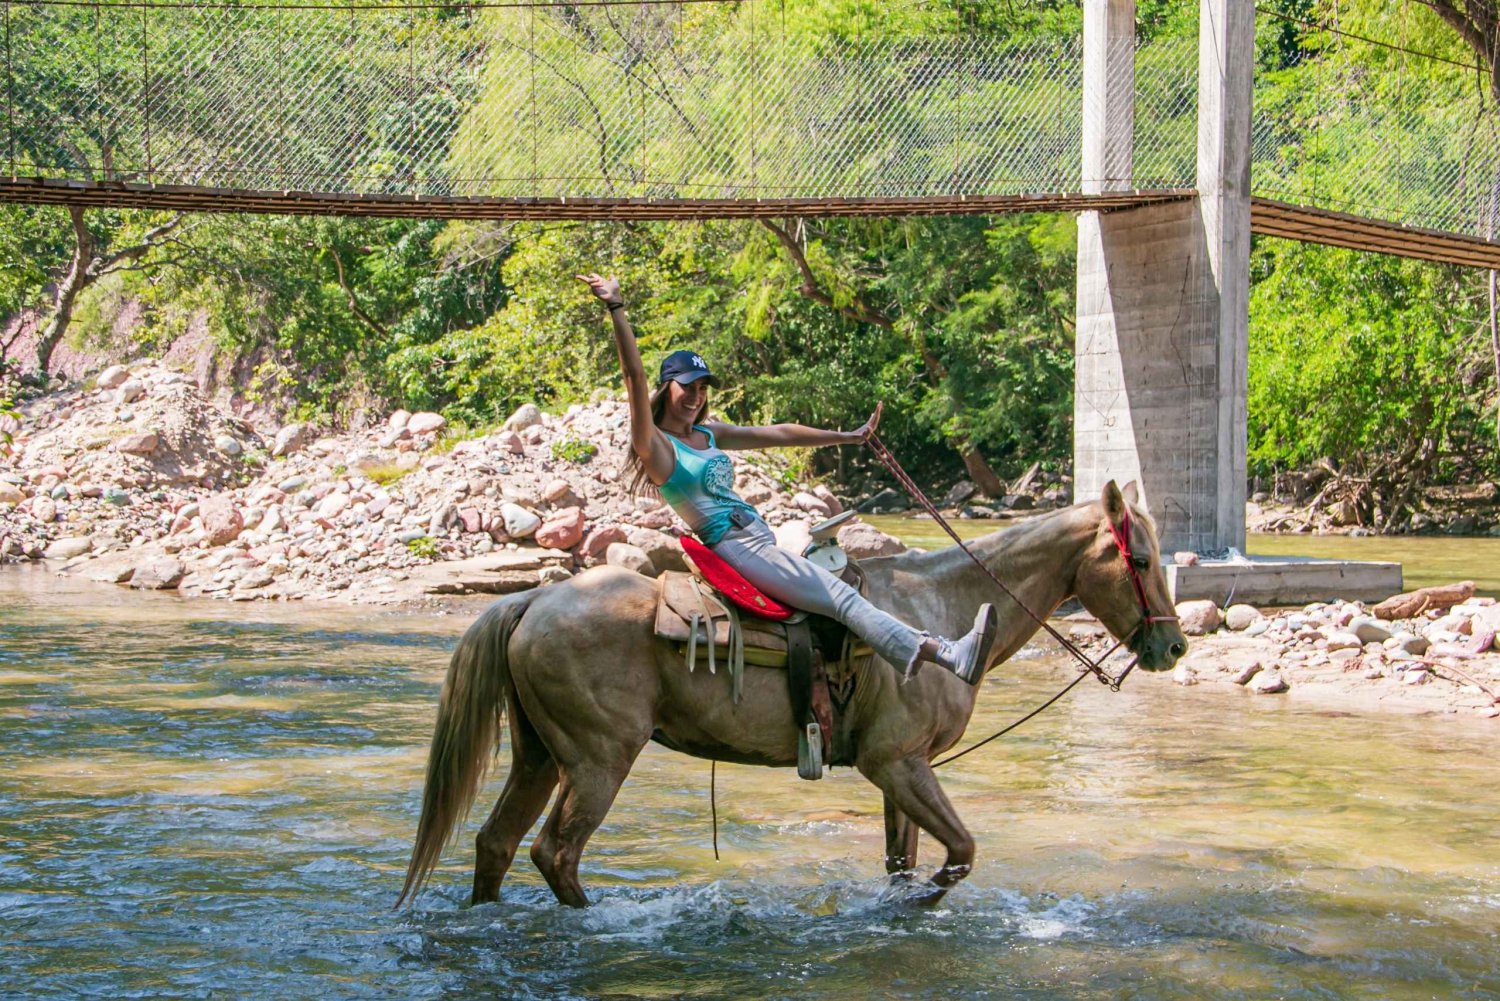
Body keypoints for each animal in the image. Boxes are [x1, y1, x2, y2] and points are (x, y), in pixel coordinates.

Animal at [396, 480, 1182, 912]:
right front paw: (927, 898)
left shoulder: (902, 771)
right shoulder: (898, 764)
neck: (943, 612)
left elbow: (902, 863)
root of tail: (533, 599)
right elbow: (958, 853)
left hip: (540, 755)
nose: (1172, 648)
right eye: (1141, 559)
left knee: (496, 844)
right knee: (555, 852)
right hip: (597, 759)